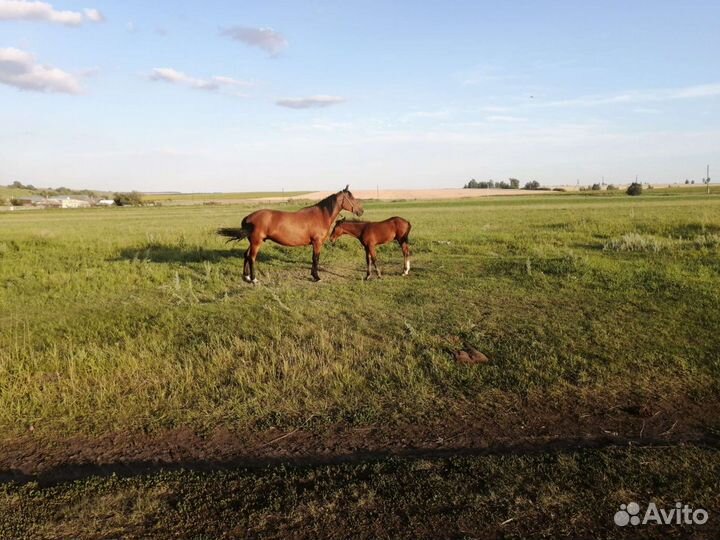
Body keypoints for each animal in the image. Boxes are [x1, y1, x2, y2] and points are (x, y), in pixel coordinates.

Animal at [218, 186, 366, 282]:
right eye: (351, 197)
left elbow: (314, 259)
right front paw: (316, 277)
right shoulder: (317, 243)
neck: (321, 215)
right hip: (256, 242)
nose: (361, 211)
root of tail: (248, 217)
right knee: (251, 258)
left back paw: (246, 276)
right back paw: (254, 279)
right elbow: (315, 259)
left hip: (254, 241)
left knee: (246, 255)